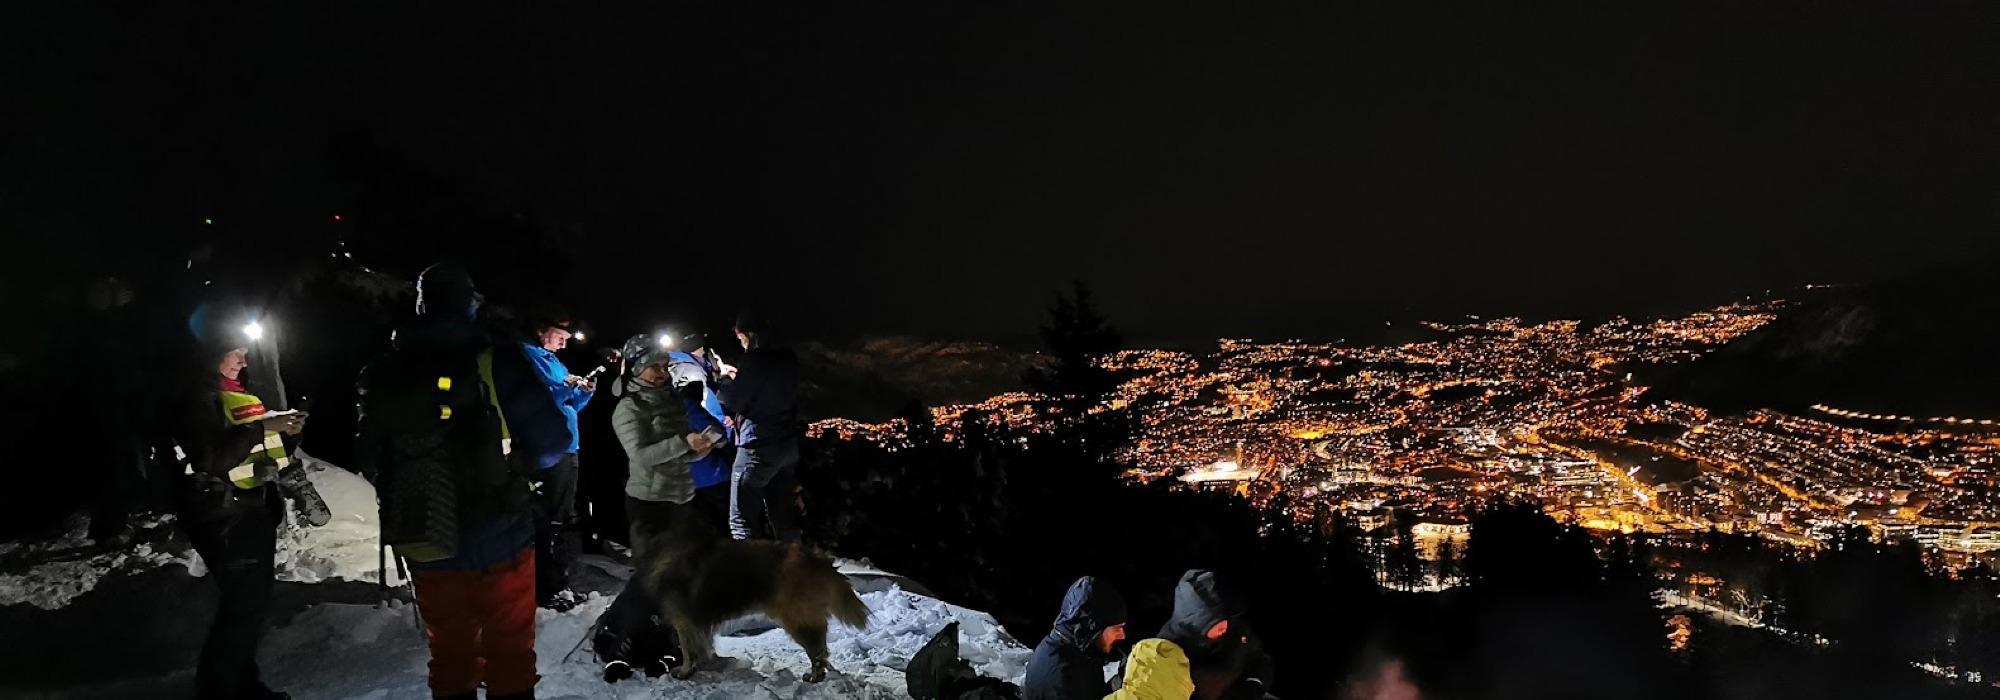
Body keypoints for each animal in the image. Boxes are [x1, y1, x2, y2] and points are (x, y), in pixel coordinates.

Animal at [636, 536, 864, 680]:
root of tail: (817, 559)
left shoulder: (684, 620)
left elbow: (688, 649)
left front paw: (685, 671)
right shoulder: (698, 622)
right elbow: (703, 645)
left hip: (796, 618)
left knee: (817, 649)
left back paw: (815, 675)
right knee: (821, 647)